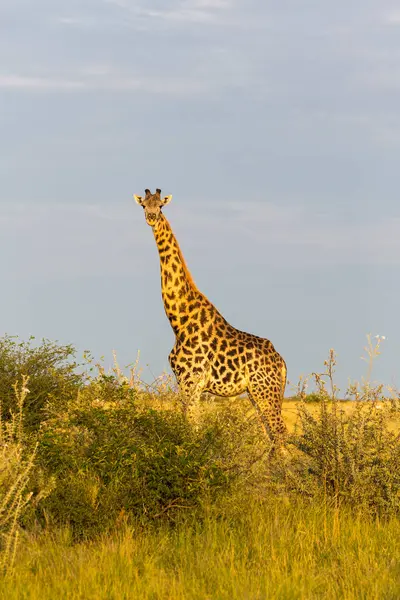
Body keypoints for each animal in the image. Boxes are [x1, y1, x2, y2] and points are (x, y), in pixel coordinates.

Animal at [135, 188, 288, 446]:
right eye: (144, 205)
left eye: (161, 206)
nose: (152, 217)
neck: (179, 321)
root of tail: (282, 362)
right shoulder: (185, 383)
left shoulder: (191, 382)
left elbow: (192, 429)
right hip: (258, 393)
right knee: (272, 436)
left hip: (264, 391)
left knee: (280, 434)